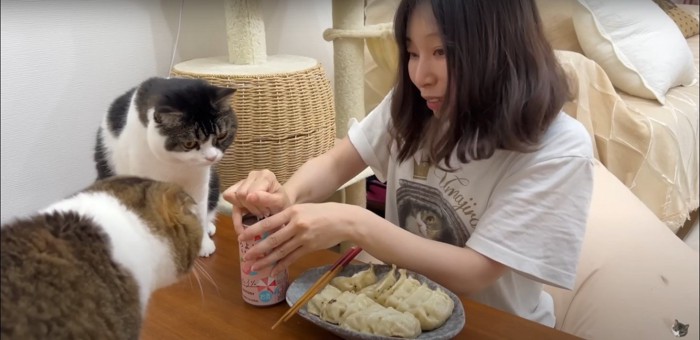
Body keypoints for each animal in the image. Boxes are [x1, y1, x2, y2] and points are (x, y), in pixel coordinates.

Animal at [93, 77, 238, 258]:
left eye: (222, 135)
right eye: (189, 143)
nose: (212, 157)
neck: (175, 163)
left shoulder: (199, 182)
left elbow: (199, 211)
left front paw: (203, 243)